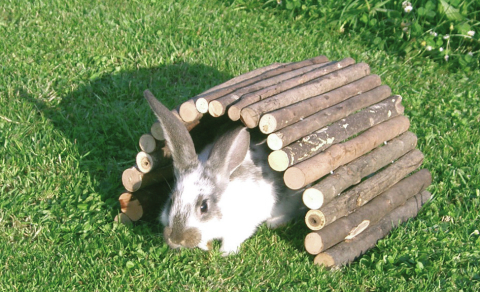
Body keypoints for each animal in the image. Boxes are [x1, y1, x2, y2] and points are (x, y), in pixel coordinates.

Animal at [144, 89, 306, 256]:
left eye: (204, 207)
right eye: (171, 201)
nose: (176, 240)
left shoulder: (242, 225)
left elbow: (231, 240)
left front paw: (225, 253)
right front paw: (206, 247)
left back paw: (274, 222)